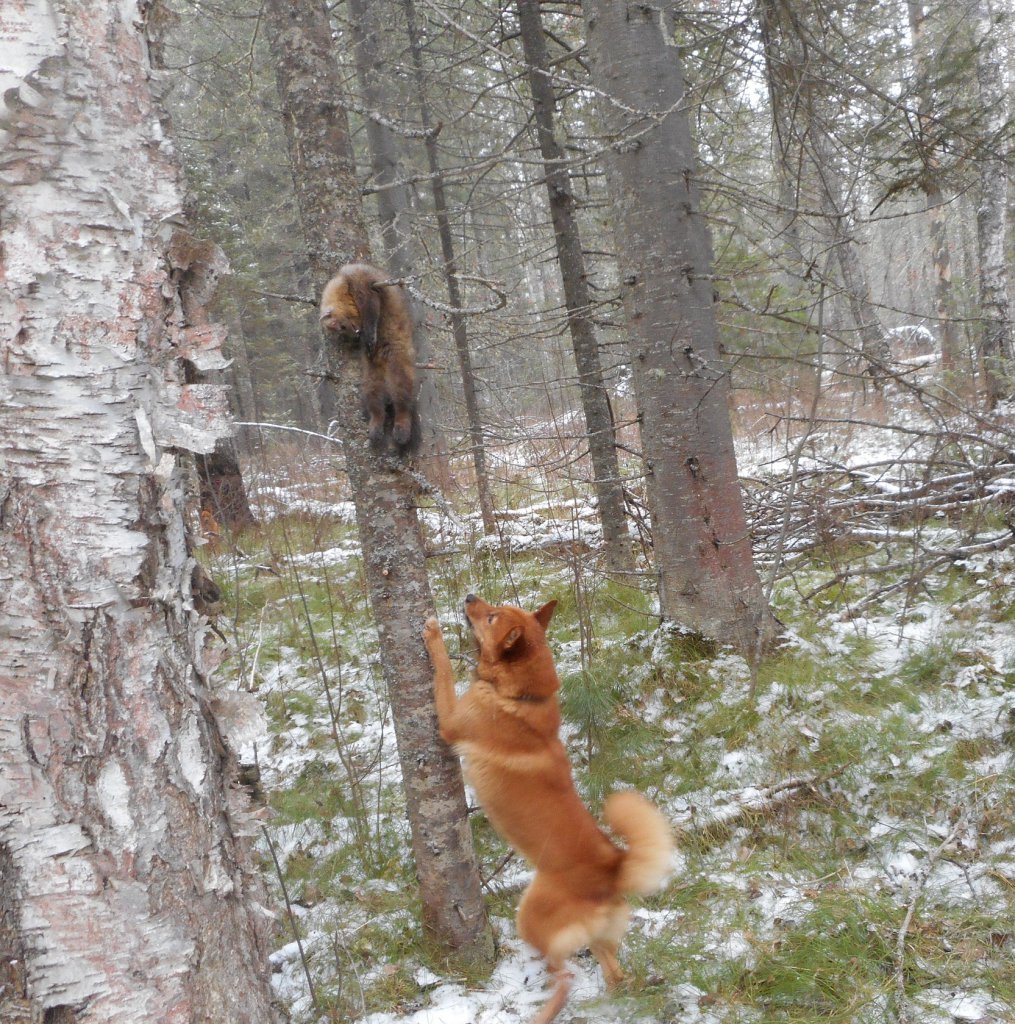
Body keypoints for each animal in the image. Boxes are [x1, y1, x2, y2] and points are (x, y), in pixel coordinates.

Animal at [319, 262, 420, 452]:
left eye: (342, 326)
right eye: (343, 333)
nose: (357, 335)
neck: (342, 282)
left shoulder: (362, 281)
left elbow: (371, 307)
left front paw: (370, 335)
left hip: (397, 361)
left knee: (402, 397)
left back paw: (401, 430)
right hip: (371, 376)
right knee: (375, 401)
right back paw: (375, 429)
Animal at [423, 594, 672, 1024]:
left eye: (491, 617)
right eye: (495, 606)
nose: (470, 597)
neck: (521, 697)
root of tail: (614, 867)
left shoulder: (450, 720)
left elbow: (443, 670)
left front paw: (433, 633)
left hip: (530, 918)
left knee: (565, 975)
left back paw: (546, 1009)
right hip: (599, 939)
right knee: (615, 974)